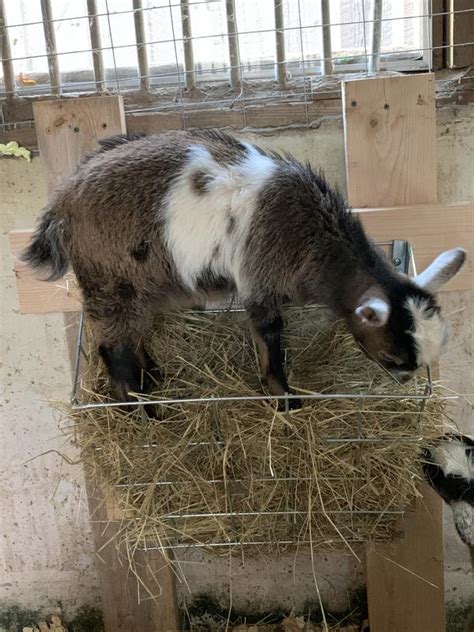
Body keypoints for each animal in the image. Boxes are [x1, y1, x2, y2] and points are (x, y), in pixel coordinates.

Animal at [23, 132, 466, 410]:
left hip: (136, 281)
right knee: (112, 349)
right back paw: (142, 410)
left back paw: (153, 376)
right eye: (393, 357)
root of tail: (61, 206)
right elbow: (269, 337)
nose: (405, 382)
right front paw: (284, 399)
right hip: (109, 278)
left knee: (130, 333)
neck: (310, 233)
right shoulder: (259, 278)